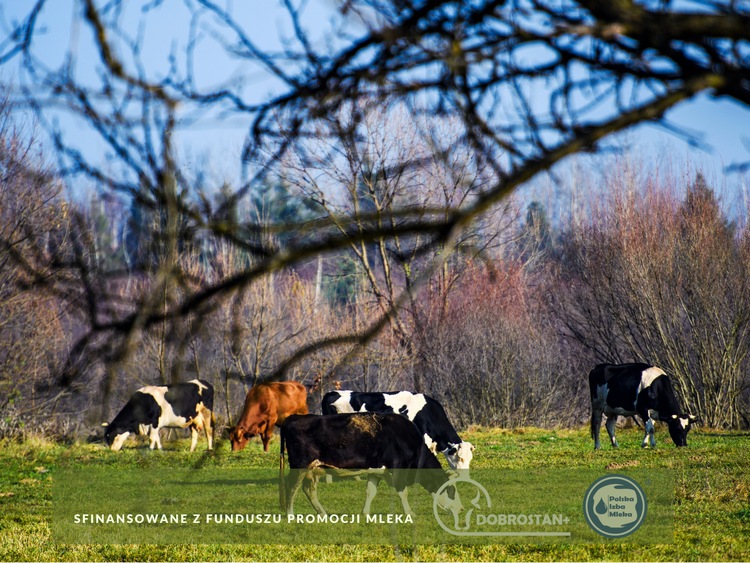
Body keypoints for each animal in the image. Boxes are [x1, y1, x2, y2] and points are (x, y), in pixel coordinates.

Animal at [278, 412, 462, 524]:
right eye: (451, 490)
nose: (461, 508)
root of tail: (292, 418)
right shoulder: (398, 469)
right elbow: (403, 492)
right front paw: (410, 513)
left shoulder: (376, 471)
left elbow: (370, 492)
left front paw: (365, 514)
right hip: (300, 465)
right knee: (291, 486)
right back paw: (290, 515)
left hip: (313, 469)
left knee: (309, 489)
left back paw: (323, 514)